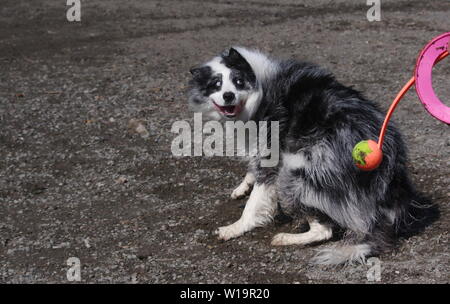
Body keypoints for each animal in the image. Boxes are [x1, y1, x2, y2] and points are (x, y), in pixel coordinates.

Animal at [187, 46, 418, 264]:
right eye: (216, 84)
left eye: (238, 81)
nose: (228, 96)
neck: (258, 92)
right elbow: (252, 170)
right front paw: (242, 186)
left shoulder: (271, 153)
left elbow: (254, 203)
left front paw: (234, 228)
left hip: (295, 174)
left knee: (324, 231)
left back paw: (286, 238)